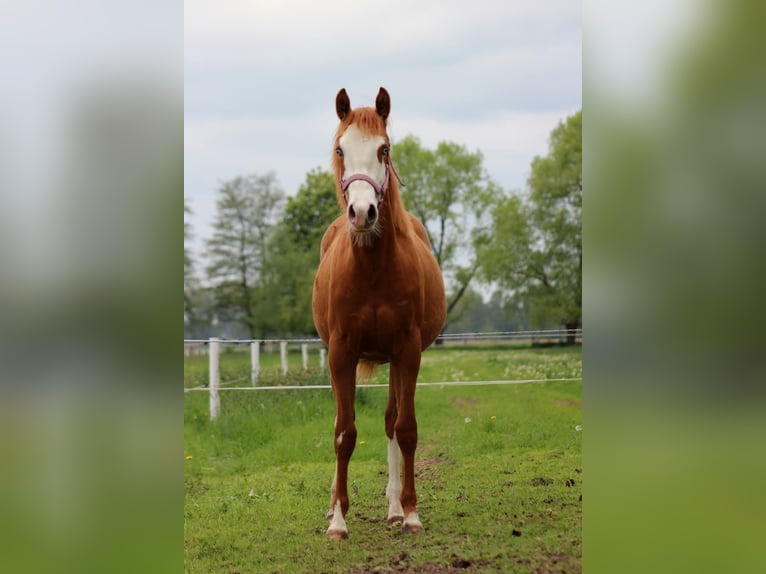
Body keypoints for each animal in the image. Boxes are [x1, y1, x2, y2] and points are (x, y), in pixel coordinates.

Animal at [312, 87, 446, 540]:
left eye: (383, 150)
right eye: (340, 148)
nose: (362, 213)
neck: (371, 269)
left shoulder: (408, 352)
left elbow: (405, 429)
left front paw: (410, 512)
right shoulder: (341, 354)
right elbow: (343, 432)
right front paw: (338, 519)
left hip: (394, 360)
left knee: (390, 422)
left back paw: (392, 507)